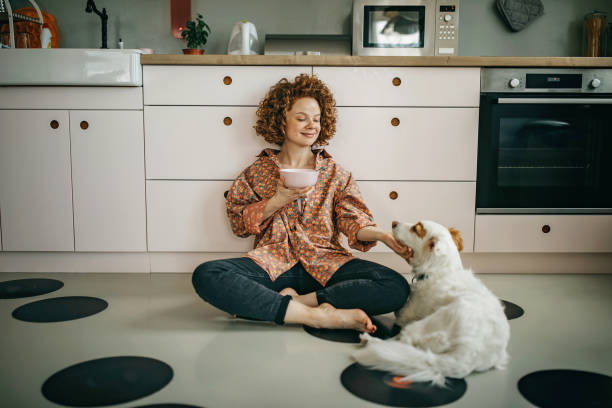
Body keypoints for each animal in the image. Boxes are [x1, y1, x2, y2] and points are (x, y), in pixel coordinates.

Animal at [352, 220, 510, 386]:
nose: (394, 222)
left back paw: (369, 340)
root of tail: (468, 353)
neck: (439, 270)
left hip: (422, 325)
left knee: (402, 341)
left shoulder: (405, 314)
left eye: (416, 228)